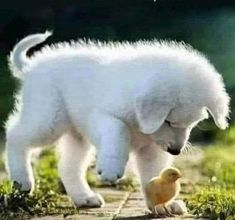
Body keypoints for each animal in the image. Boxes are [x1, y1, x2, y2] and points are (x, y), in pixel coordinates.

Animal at [5, 31, 229, 213]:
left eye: (191, 124)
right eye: (168, 121)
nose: (175, 151)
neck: (141, 122)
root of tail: (32, 67)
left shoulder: (153, 148)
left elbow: (154, 172)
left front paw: (163, 202)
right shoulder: (102, 116)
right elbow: (119, 130)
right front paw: (112, 169)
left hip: (76, 134)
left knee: (68, 166)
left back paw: (84, 197)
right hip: (49, 118)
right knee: (15, 135)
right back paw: (22, 180)